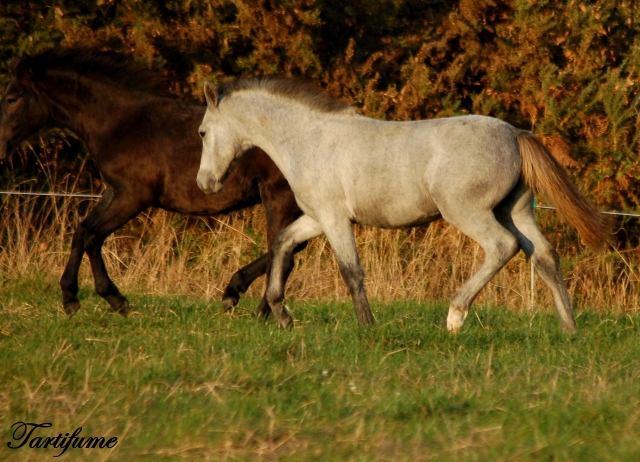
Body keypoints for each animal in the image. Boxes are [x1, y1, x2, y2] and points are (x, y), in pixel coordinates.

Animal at [0, 48, 304, 318]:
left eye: (12, 98)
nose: (1, 146)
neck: (119, 124)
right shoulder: (115, 190)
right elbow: (82, 230)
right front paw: (71, 297)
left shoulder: (134, 195)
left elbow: (93, 236)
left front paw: (113, 299)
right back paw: (235, 292)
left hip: (278, 196)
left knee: (283, 253)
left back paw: (259, 311)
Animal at [196, 78, 608, 332]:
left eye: (202, 132)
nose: (205, 183)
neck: (310, 139)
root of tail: (514, 133)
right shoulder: (315, 218)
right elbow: (281, 244)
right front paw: (281, 315)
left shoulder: (334, 218)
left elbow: (351, 271)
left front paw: (367, 327)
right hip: (516, 211)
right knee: (545, 255)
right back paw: (569, 330)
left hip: (466, 212)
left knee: (501, 247)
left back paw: (455, 316)